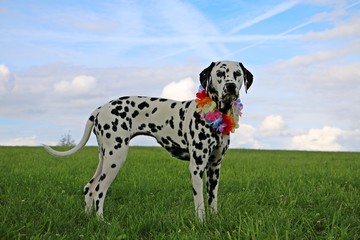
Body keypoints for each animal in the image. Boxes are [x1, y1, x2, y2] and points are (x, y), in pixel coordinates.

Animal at [44, 60, 253, 221]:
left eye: (237, 74)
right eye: (220, 73)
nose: (230, 86)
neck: (217, 112)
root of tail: (100, 109)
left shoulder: (214, 167)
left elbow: (213, 200)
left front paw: (215, 220)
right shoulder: (197, 167)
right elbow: (200, 202)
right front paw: (202, 223)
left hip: (105, 157)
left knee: (89, 188)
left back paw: (89, 218)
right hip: (116, 158)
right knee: (99, 192)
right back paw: (101, 221)